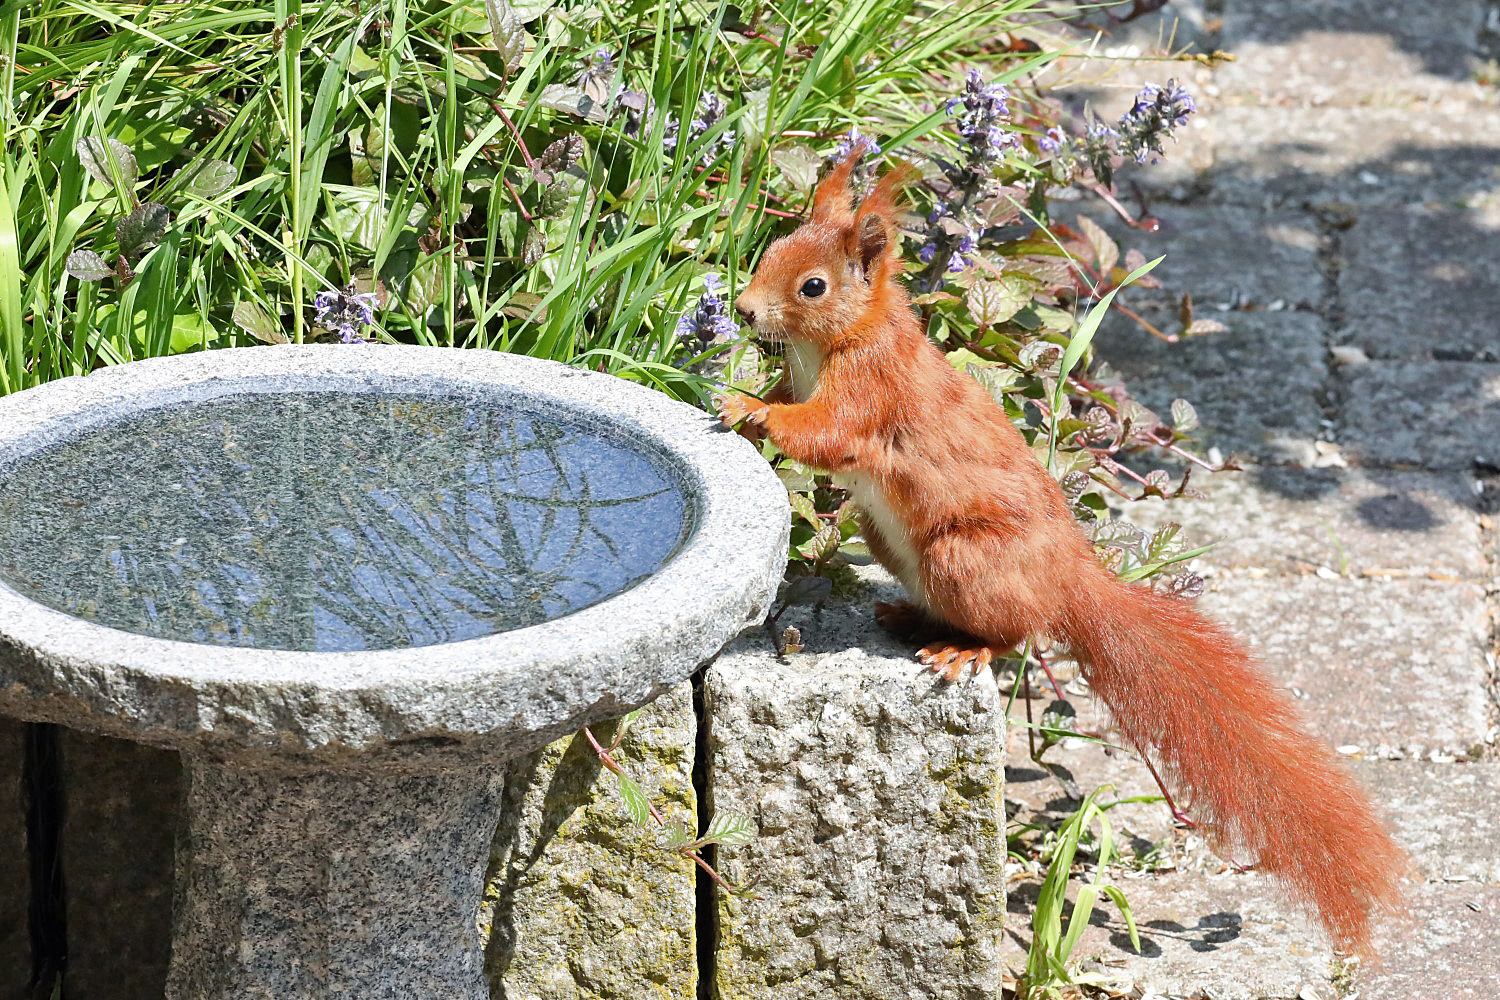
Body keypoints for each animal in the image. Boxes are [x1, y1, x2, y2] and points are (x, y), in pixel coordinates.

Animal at [717, 150, 1404, 953]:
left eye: (814, 286)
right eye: (770, 254)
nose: (741, 309)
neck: (845, 336)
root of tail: (1068, 579)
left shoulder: (869, 393)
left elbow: (825, 434)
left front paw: (746, 408)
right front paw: (746, 394)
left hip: (964, 558)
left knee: (1013, 634)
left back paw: (961, 650)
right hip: (892, 542)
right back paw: (913, 623)